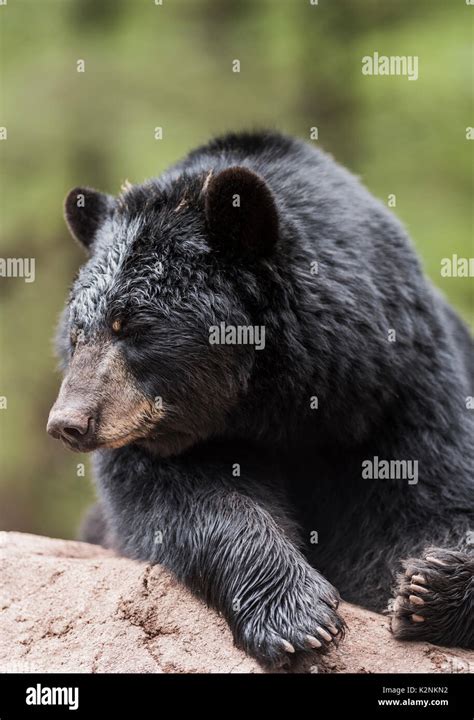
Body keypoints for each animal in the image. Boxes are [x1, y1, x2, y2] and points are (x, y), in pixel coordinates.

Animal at [47, 131, 474, 664]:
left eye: (133, 326)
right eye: (77, 333)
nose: (68, 422)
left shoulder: (398, 386)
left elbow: (430, 500)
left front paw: (428, 587)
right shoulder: (158, 436)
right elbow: (179, 500)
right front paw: (297, 616)